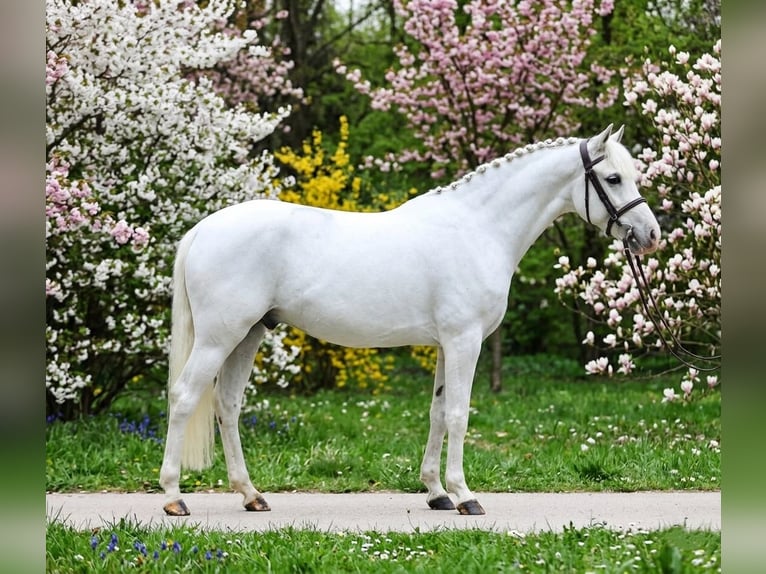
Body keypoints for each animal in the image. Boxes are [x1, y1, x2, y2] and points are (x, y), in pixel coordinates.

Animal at [159, 125, 661, 516]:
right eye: (613, 177)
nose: (651, 235)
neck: (478, 229)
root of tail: (203, 229)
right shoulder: (464, 341)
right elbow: (458, 414)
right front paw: (465, 495)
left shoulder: (445, 344)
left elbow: (438, 413)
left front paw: (437, 493)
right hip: (219, 337)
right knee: (184, 397)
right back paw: (173, 496)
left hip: (247, 335)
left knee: (227, 405)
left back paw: (251, 495)